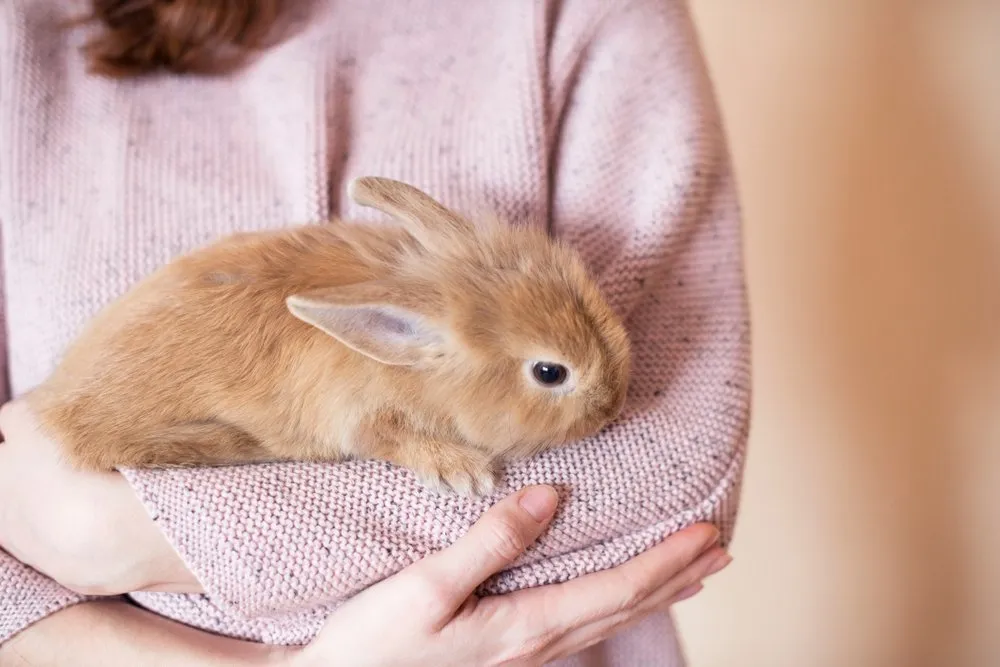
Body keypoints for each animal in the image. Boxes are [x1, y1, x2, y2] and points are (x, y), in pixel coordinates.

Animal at [26, 176, 631, 496]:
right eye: (550, 372)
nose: (615, 403)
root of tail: (55, 405)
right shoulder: (363, 415)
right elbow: (390, 440)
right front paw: (466, 474)